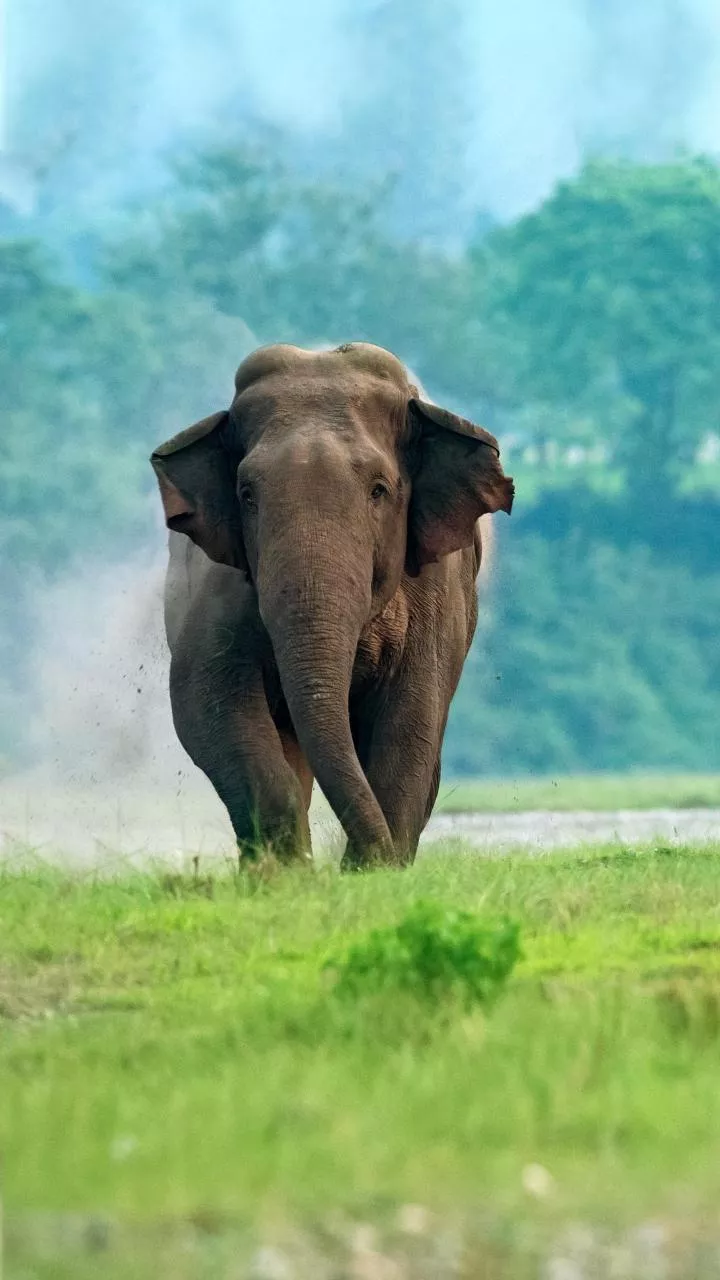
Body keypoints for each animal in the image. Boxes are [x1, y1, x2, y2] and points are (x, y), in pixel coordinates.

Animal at [151, 342, 513, 869]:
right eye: (246, 494)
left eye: (380, 489)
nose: (371, 856)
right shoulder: (219, 579)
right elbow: (204, 696)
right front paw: (285, 873)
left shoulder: (437, 585)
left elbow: (414, 714)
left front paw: (372, 872)